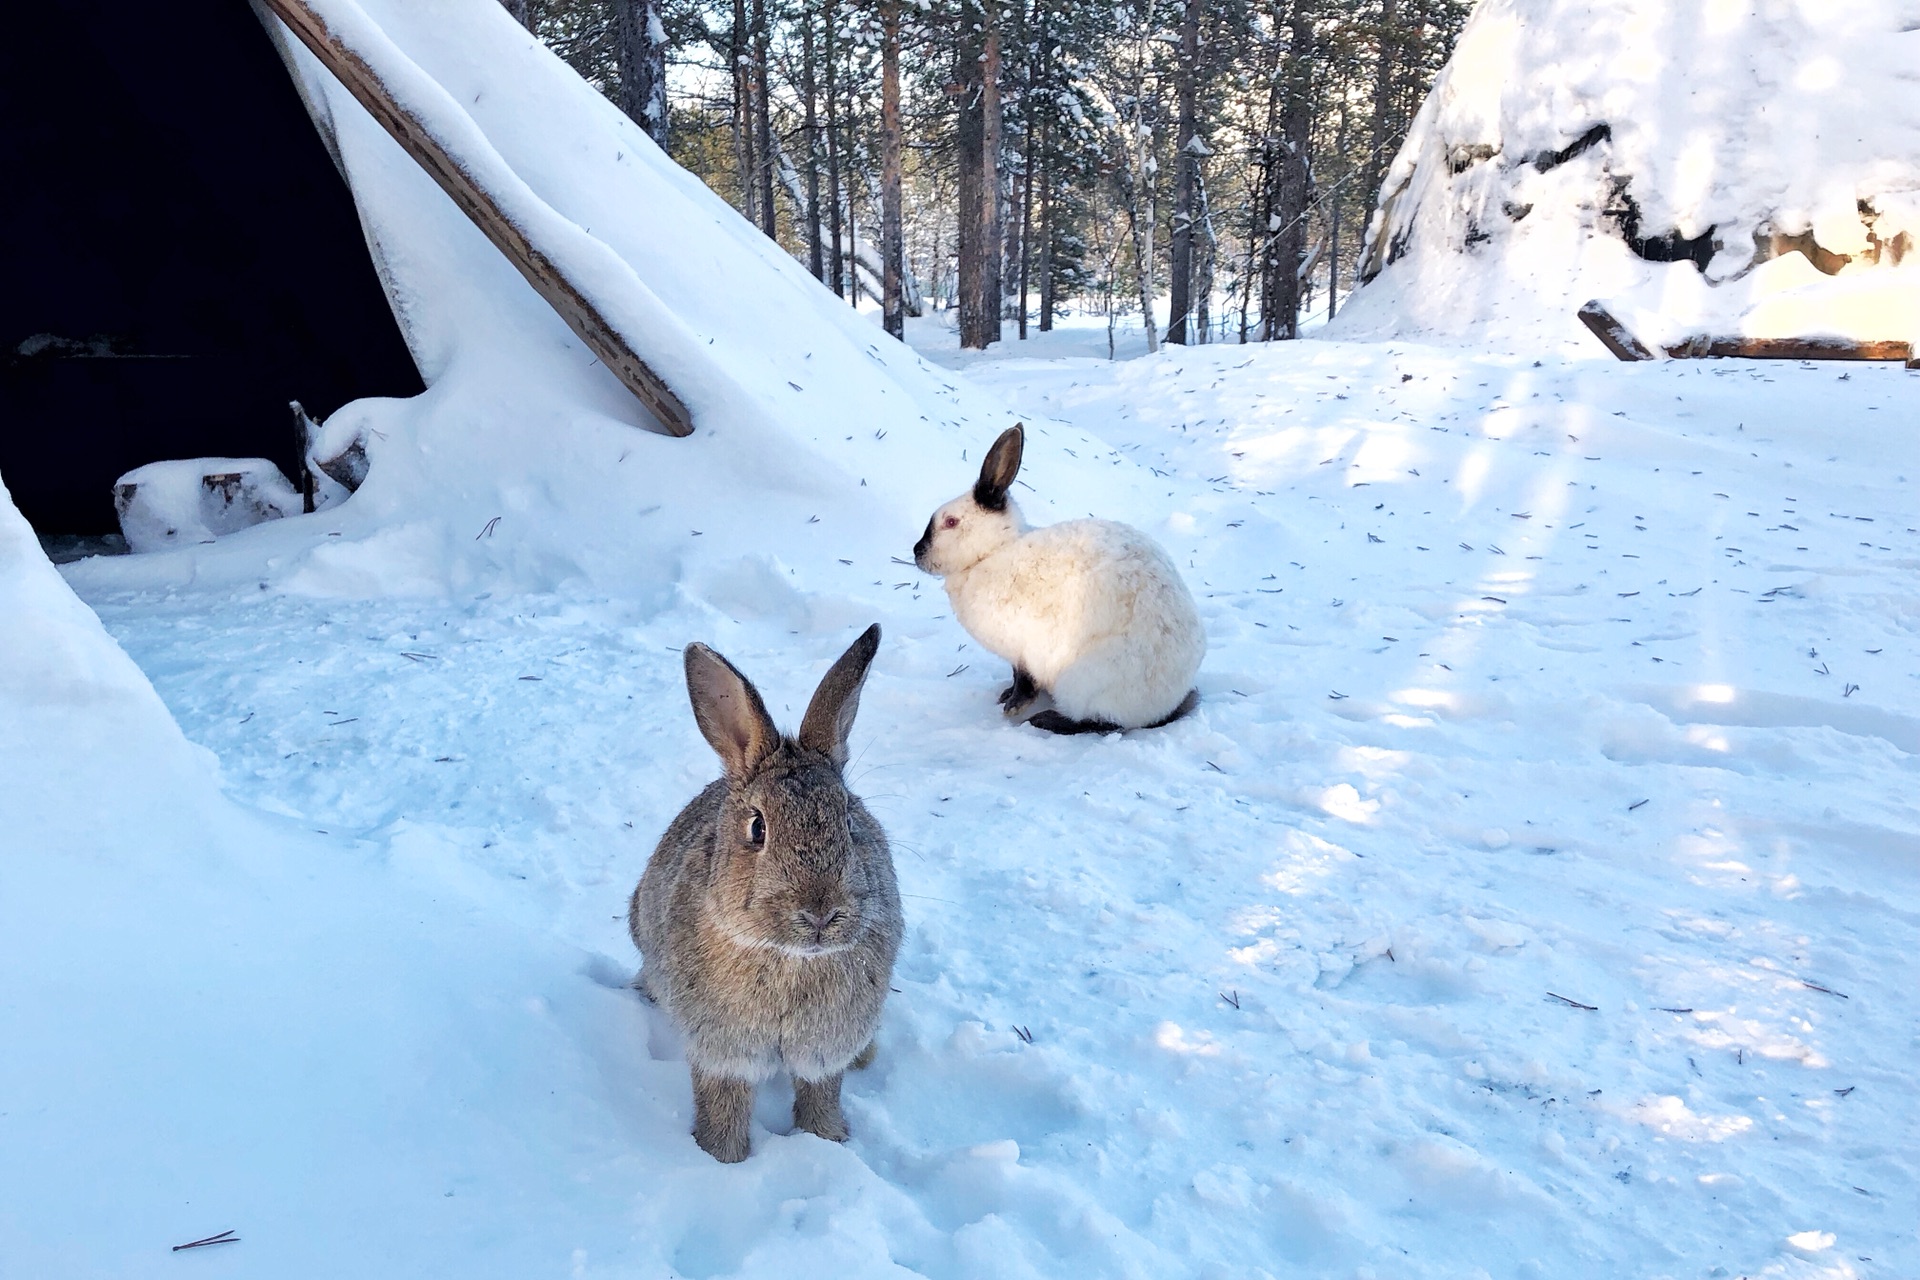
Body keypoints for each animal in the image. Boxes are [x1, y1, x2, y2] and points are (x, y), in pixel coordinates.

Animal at [629, 625, 898, 1166]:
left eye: (850, 820)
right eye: (758, 828)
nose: (820, 913)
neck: (789, 957)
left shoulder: (823, 1050)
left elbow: (820, 1095)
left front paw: (829, 1140)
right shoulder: (723, 1051)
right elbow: (723, 1106)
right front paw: (722, 1159)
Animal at [910, 426, 1198, 736]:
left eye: (951, 522)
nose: (916, 552)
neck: (992, 552)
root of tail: (1165, 704)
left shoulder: (1024, 648)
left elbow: (1023, 679)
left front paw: (1013, 707)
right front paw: (1004, 696)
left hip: (1088, 683)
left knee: (1101, 722)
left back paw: (1045, 720)